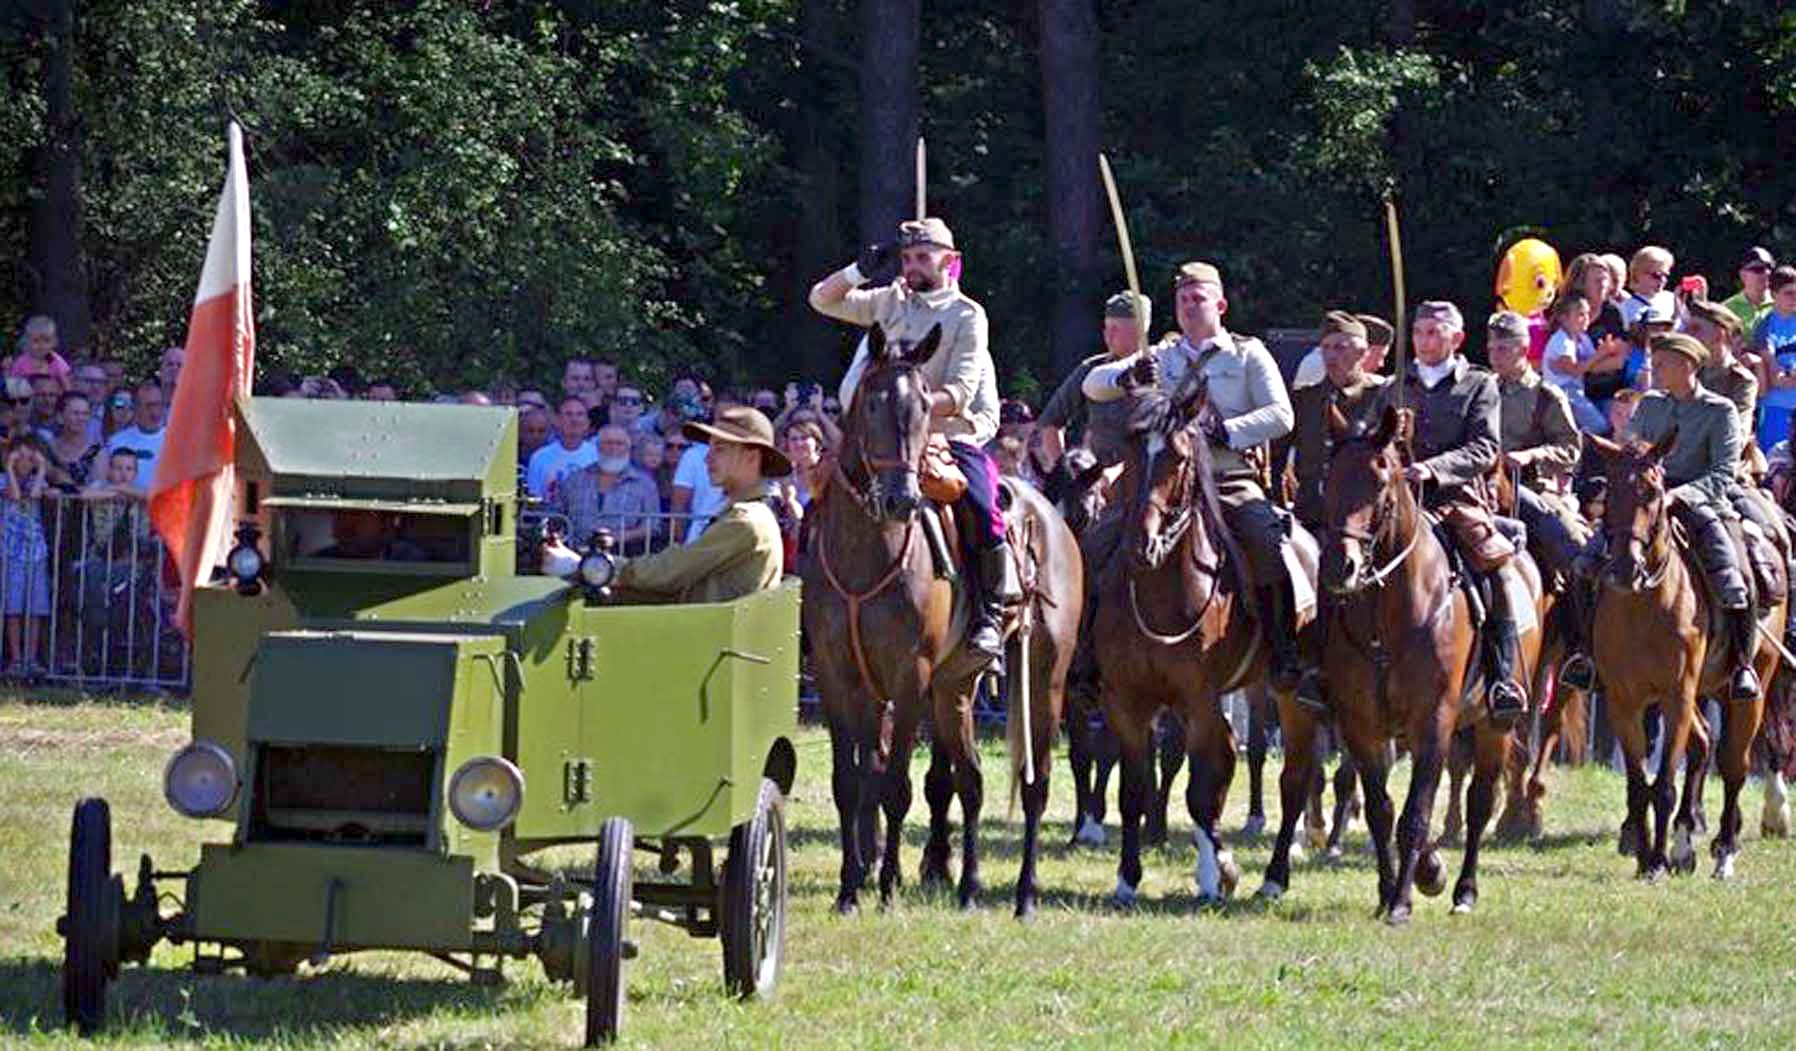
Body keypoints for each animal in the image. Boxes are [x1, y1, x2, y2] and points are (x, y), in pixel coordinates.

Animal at [804, 323, 1077, 912]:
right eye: (874, 402)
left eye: (927, 406)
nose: (902, 499)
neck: (866, 555)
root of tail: (1051, 516)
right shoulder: (842, 681)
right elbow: (851, 782)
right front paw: (849, 889)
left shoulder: (910, 679)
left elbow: (895, 787)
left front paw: (885, 887)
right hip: (956, 687)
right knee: (970, 780)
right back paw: (970, 886)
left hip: (1044, 680)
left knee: (1034, 784)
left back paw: (1024, 893)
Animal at [1084, 380, 1329, 905]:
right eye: (1131, 451)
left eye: (1178, 458)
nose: (1141, 544)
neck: (1160, 589)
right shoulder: (1126, 701)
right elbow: (1134, 790)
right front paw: (1127, 878)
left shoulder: (1198, 698)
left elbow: (1200, 790)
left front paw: (1224, 872)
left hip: (1290, 695)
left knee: (1293, 779)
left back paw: (1274, 876)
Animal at [1257, 404, 1523, 919]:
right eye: (1330, 478)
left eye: (1381, 482)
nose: (1340, 567)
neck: (1390, 614)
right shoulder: (1361, 723)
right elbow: (1381, 809)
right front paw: (1388, 891)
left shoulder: (1433, 721)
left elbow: (1415, 814)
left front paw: (1401, 901)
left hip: (1493, 724)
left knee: (1480, 800)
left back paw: (1464, 890)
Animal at [1587, 431, 1781, 880]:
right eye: (1610, 492)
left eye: (1654, 492)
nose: (1625, 568)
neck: (1644, 603)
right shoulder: (1624, 702)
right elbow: (1638, 785)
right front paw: (1646, 856)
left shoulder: (1676, 696)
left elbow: (1663, 787)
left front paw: (1656, 861)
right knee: (1704, 743)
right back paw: (1683, 844)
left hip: (1749, 692)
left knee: (1732, 765)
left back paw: (1723, 852)